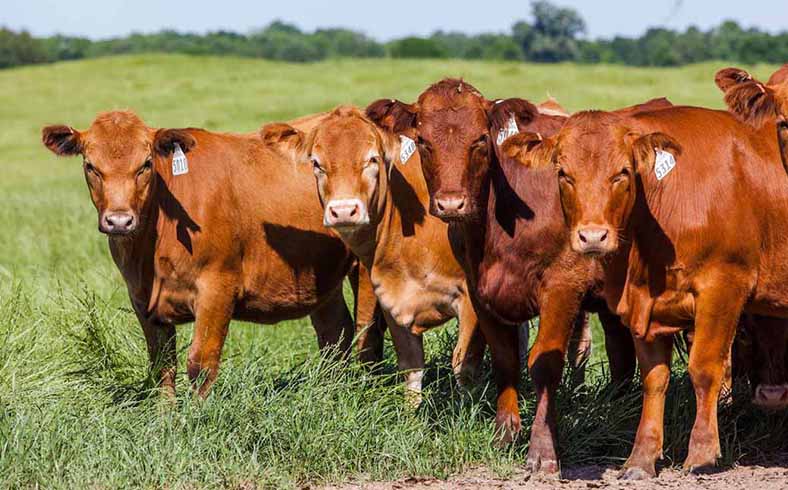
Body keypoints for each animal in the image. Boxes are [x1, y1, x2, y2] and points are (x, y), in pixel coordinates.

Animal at [41, 111, 384, 398]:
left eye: (146, 164)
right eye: (90, 166)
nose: (120, 220)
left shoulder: (217, 288)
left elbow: (200, 363)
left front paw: (194, 420)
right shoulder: (141, 300)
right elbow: (162, 367)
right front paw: (166, 419)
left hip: (365, 270)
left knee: (368, 336)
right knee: (335, 334)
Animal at [262, 106, 490, 402]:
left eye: (372, 159)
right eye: (316, 163)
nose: (344, 211)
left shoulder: (471, 303)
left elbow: (464, 366)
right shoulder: (393, 300)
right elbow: (411, 370)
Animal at [364, 79, 672, 474]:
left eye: (481, 139)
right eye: (422, 141)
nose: (451, 203)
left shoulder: (562, 286)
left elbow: (544, 364)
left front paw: (542, 450)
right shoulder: (480, 291)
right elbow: (504, 359)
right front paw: (505, 435)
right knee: (621, 354)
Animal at [510, 104, 788, 478]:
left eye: (622, 173)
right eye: (564, 174)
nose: (593, 236)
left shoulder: (724, 285)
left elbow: (704, 369)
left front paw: (702, 453)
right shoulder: (645, 306)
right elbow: (654, 379)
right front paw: (642, 458)